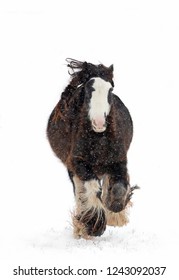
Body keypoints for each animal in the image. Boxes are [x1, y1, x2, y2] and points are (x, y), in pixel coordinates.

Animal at [46, 58, 137, 238]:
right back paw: (81, 226)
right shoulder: (79, 164)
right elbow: (92, 189)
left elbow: (119, 188)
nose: (99, 122)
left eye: (110, 89)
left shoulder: (119, 162)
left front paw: (115, 211)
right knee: (80, 192)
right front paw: (93, 225)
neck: (99, 140)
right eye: (88, 90)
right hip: (73, 170)